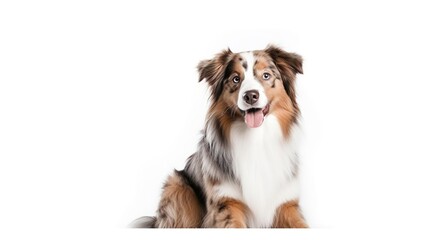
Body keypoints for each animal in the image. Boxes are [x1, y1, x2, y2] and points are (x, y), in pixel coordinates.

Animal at [130, 45, 308, 229]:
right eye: (236, 79)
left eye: (266, 75)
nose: (250, 96)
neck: (256, 139)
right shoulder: (225, 203)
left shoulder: (286, 204)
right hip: (178, 187)